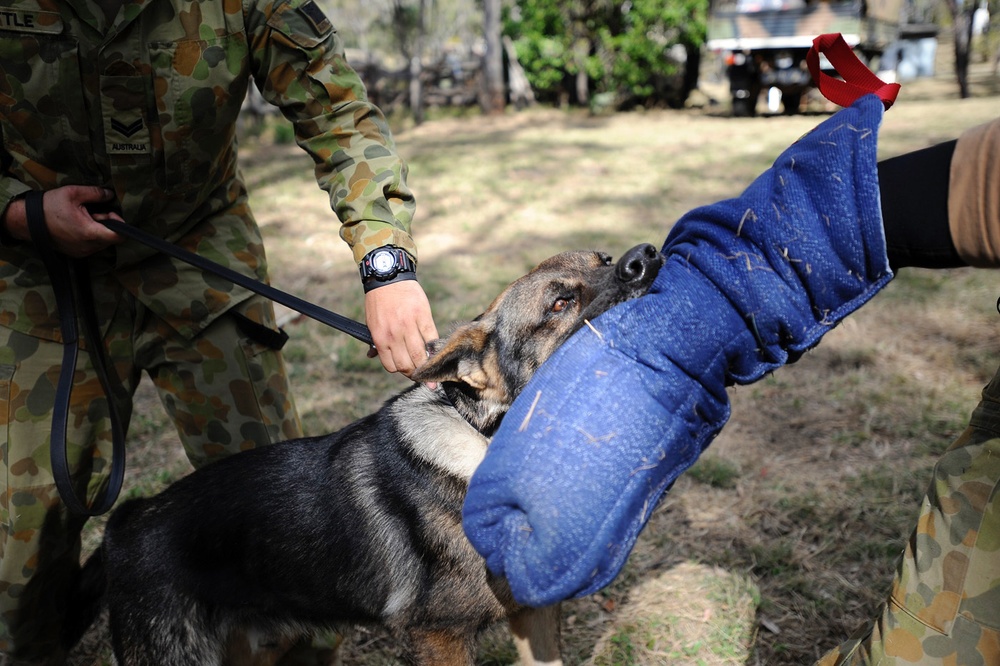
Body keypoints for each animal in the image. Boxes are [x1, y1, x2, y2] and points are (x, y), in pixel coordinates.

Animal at [70, 241, 664, 660]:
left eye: (604, 259)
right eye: (560, 304)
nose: (646, 256)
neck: (487, 442)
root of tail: (125, 522)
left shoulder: (535, 616)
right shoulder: (437, 637)